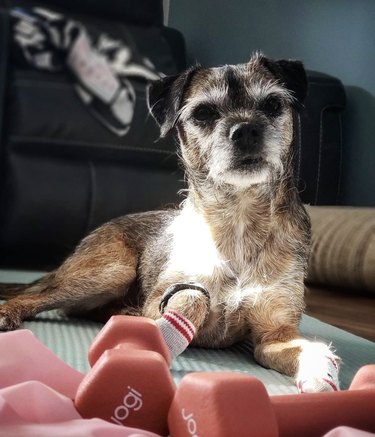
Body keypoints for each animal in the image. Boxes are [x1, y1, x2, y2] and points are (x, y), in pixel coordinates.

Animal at [0, 54, 340, 392]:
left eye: (272, 104)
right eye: (203, 113)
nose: (246, 130)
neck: (238, 218)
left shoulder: (275, 335)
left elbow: (303, 347)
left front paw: (319, 370)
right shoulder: (166, 296)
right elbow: (191, 298)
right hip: (111, 270)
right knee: (34, 297)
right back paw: (10, 311)